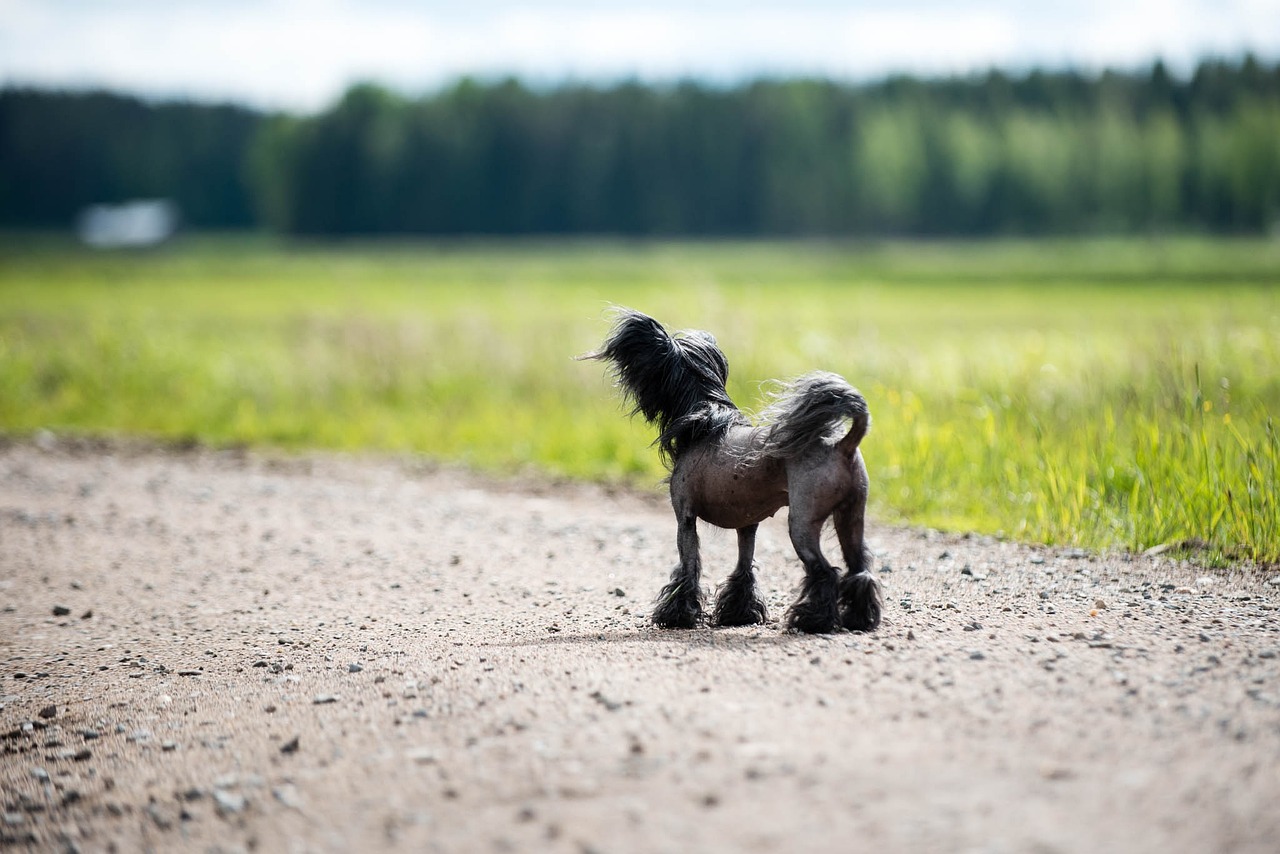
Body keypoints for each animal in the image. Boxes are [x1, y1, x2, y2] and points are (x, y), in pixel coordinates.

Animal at [581, 308, 880, 635]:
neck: (706, 419)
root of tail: (844, 444)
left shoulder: (684, 519)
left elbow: (689, 569)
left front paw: (676, 615)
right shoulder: (747, 525)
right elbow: (743, 568)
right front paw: (739, 613)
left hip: (803, 522)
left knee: (825, 572)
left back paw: (812, 620)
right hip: (852, 515)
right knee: (859, 570)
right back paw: (859, 618)